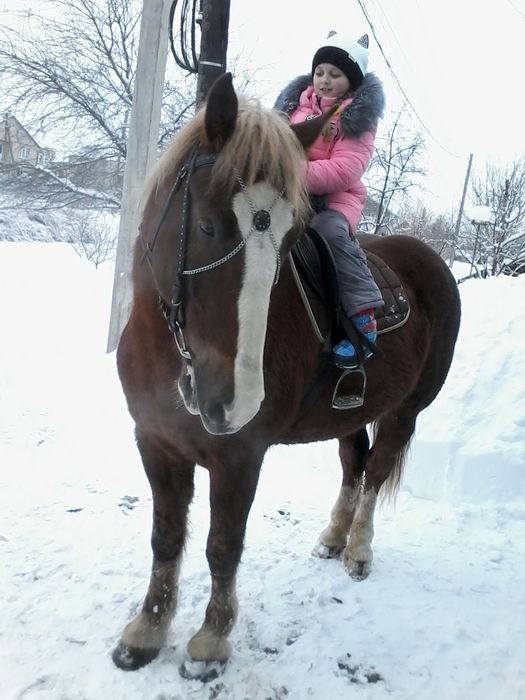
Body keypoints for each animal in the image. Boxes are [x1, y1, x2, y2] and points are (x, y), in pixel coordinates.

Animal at [112, 72, 460, 680]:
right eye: (207, 224)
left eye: (291, 240)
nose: (236, 400)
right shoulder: (155, 442)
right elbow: (166, 538)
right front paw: (146, 632)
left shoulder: (239, 456)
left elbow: (222, 545)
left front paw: (210, 642)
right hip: (353, 411)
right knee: (355, 462)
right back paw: (332, 538)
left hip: (406, 410)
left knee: (377, 472)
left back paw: (358, 551)